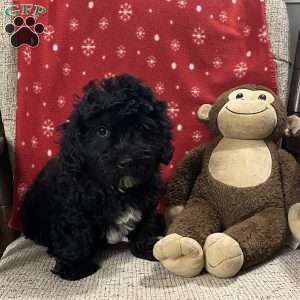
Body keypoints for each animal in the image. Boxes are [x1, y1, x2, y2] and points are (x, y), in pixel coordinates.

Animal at [20, 74, 173, 280]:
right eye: (102, 131)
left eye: (141, 128)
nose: (127, 161)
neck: (116, 189)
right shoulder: (74, 207)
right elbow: (75, 233)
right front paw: (76, 265)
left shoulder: (147, 200)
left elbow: (145, 223)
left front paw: (147, 247)